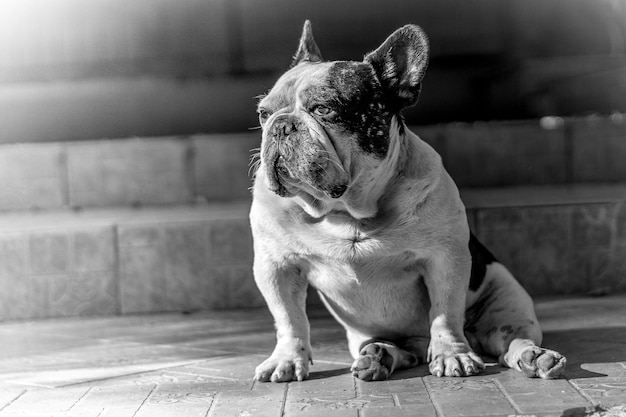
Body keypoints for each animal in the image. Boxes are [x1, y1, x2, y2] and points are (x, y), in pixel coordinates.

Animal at [250, 21, 564, 382]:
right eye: (263, 114)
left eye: (324, 109)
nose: (281, 126)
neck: (349, 212)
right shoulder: (276, 267)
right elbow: (289, 319)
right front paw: (286, 359)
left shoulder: (446, 259)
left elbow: (445, 313)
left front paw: (451, 355)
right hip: (368, 336)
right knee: (406, 351)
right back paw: (379, 357)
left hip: (507, 298)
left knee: (510, 339)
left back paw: (535, 357)